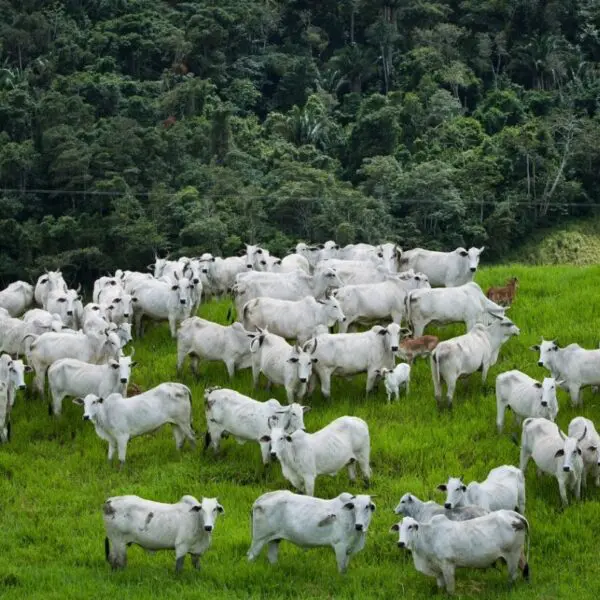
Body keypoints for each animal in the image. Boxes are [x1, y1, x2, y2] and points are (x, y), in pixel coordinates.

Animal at [394, 510, 528, 596]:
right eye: (399, 528)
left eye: (411, 526)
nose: (400, 543)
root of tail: (513, 514)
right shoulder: (438, 570)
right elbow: (441, 587)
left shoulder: (447, 565)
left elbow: (450, 589)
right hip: (519, 553)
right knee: (525, 568)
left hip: (513, 554)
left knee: (513, 576)